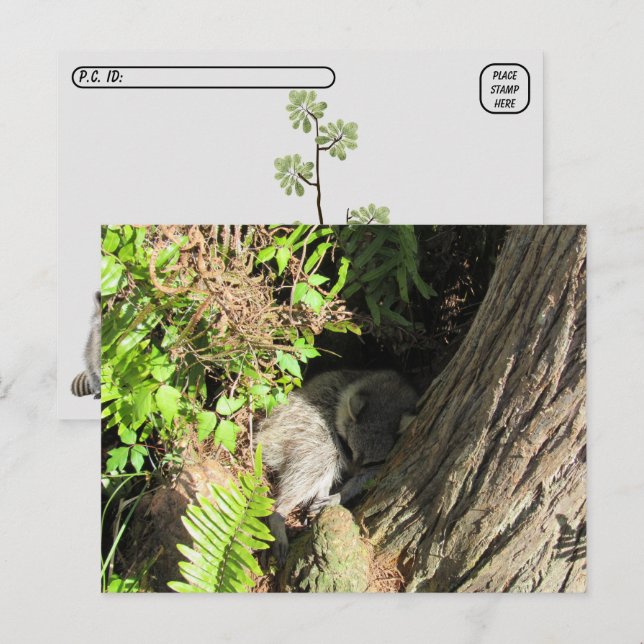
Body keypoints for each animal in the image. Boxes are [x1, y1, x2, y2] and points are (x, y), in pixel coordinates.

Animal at [258, 369, 418, 564]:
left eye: (370, 462)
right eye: (348, 448)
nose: (349, 473)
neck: (392, 390)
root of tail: (266, 433)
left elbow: (368, 476)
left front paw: (342, 493)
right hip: (298, 428)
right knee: (318, 460)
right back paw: (279, 513)